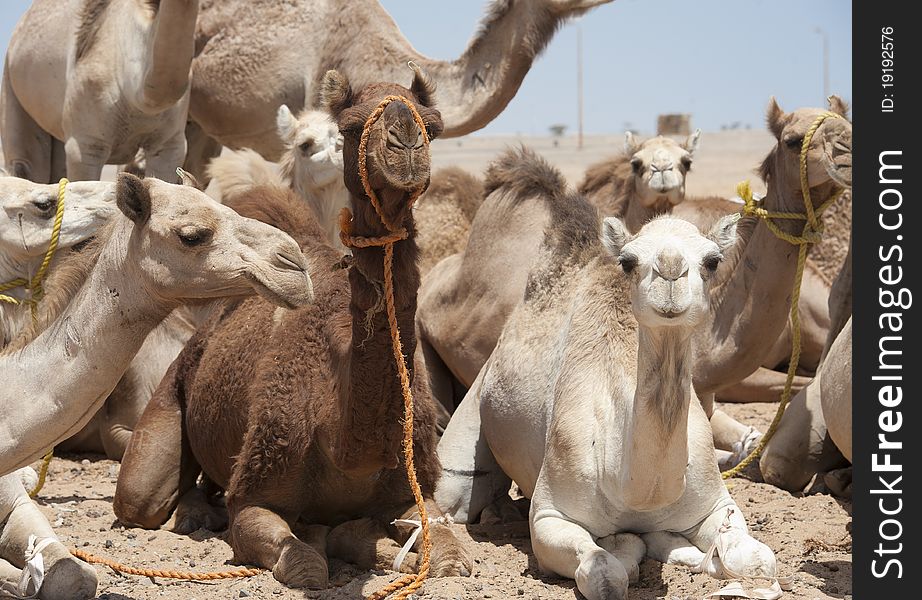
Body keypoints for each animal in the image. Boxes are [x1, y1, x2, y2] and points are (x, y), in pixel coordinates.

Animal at [113, 69, 474, 584]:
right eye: (351, 126)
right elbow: (304, 563)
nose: (405, 141)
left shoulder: (415, 490)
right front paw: (328, 539)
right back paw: (195, 513)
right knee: (145, 497)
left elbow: (448, 556)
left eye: (433, 124)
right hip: (167, 400)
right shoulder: (256, 493)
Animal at [434, 146, 772, 600]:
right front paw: (627, 547)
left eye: (713, 260)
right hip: (471, 420)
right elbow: (606, 573)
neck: (634, 488)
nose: (669, 270)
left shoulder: (716, 501)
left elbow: (759, 559)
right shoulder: (550, 517)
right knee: (459, 492)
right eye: (628, 261)